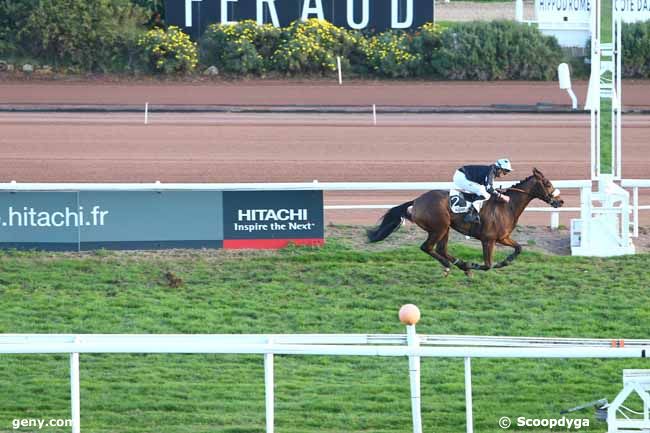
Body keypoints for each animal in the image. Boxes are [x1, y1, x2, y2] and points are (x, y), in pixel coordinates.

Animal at [364, 167, 560, 276]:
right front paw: (475, 264)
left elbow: (518, 248)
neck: (507, 205)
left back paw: (462, 265)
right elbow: (487, 265)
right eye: (548, 184)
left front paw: (505, 262)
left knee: (441, 249)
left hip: (445, 229)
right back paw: (453, 266)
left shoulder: (502, 237)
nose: (560, 201)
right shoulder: (488, 239)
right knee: (427, 247)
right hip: (439, 227)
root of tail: (417, 201)